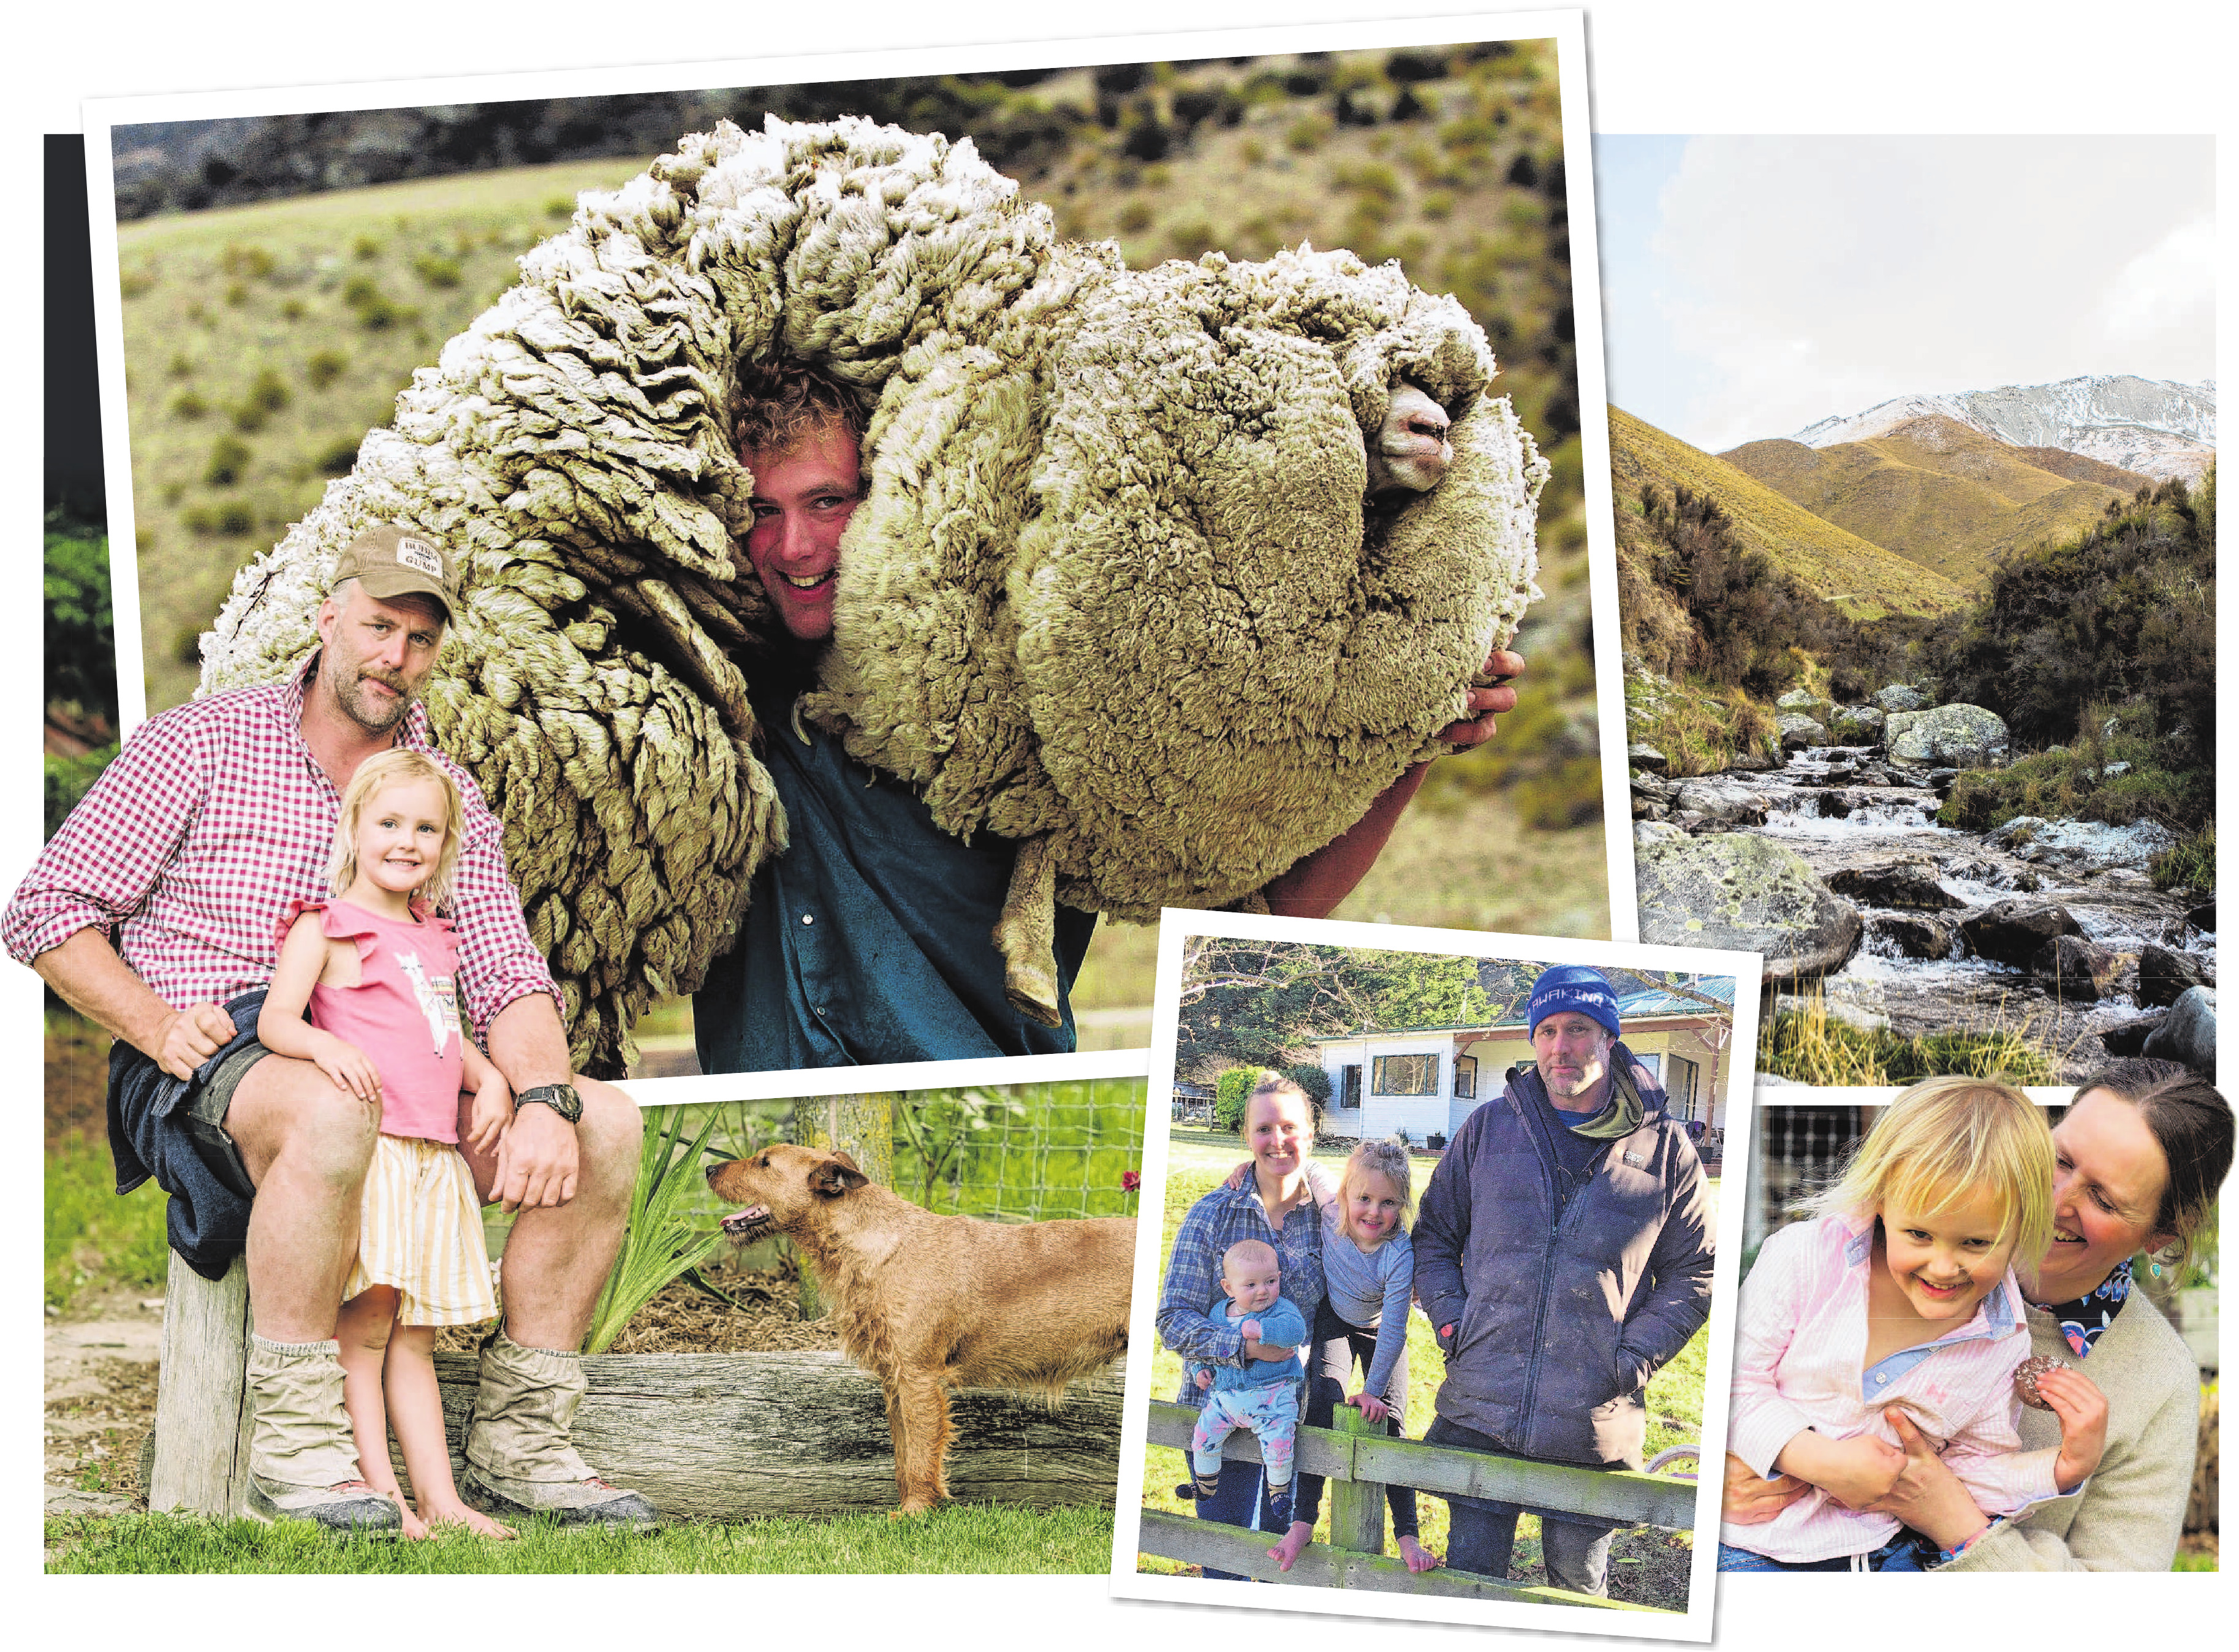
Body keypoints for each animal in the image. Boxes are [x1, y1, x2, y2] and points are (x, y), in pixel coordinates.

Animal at [711, 1137, 1137, 1513]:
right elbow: (903, 1454)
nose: (708, 1168)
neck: (876, 1245)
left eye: (765, 1162)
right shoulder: (894, 1379)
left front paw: (915, 1512)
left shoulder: (919, 1376)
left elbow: (920, 1453)